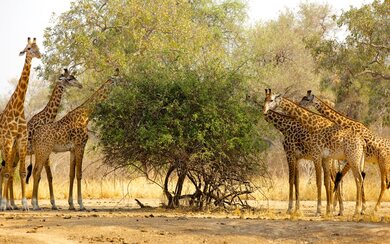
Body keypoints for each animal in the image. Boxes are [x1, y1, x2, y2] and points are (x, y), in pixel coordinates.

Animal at [3, 68, 82, 210]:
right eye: (69, 79)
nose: (80, 85)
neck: (46, 118)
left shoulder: (44, 151)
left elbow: (46, 176)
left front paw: (50, 204)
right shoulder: (43, 150)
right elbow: (42, 175)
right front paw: (43, 203)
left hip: (16, 155)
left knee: (9, 172)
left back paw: (12, 204)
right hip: (13, 153)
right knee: (6, 172)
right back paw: (8, 204)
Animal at [29, 70, 118, 210]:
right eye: (118, 79)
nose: (80, 85)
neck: (86, 115)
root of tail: (35, 136)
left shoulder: (72, 149)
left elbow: (71, 174)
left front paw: (71, 204)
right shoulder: (80, 145)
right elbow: (79, 174)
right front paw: (81, 204)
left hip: (39, 152)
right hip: (43, 151)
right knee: (36, 172)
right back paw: (34, 204)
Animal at [264, 88, 368, 216]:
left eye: (271, 100)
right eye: (264, 99)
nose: (264, 111)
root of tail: (363, 142)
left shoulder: (301, 155)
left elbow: (307, 181)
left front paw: (310, 209)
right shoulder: (307, 158)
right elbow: (301, 181)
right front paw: (301, 209)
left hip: (352, 160)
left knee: (356, 179)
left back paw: (355, 210)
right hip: (355, 160)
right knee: (346, 179)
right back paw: (347, 209)